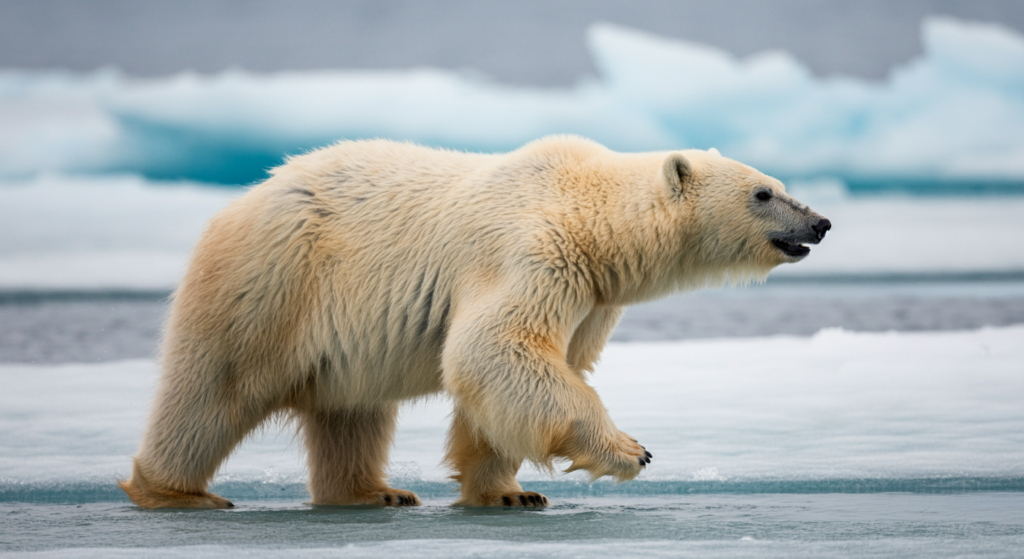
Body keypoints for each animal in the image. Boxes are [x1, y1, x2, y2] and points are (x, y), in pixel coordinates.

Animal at [119, 135, 827, 503]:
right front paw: (629, 450)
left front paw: (510, 493)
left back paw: (373, 491)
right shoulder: (532, 251)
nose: (820, 222)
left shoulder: (593, 295)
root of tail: (237, 202)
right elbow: (498, 349)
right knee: (212, 391)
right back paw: (177, 490)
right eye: (763, 192)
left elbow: (529, 372)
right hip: (271, 284)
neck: (588, 213)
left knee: (352, 412)